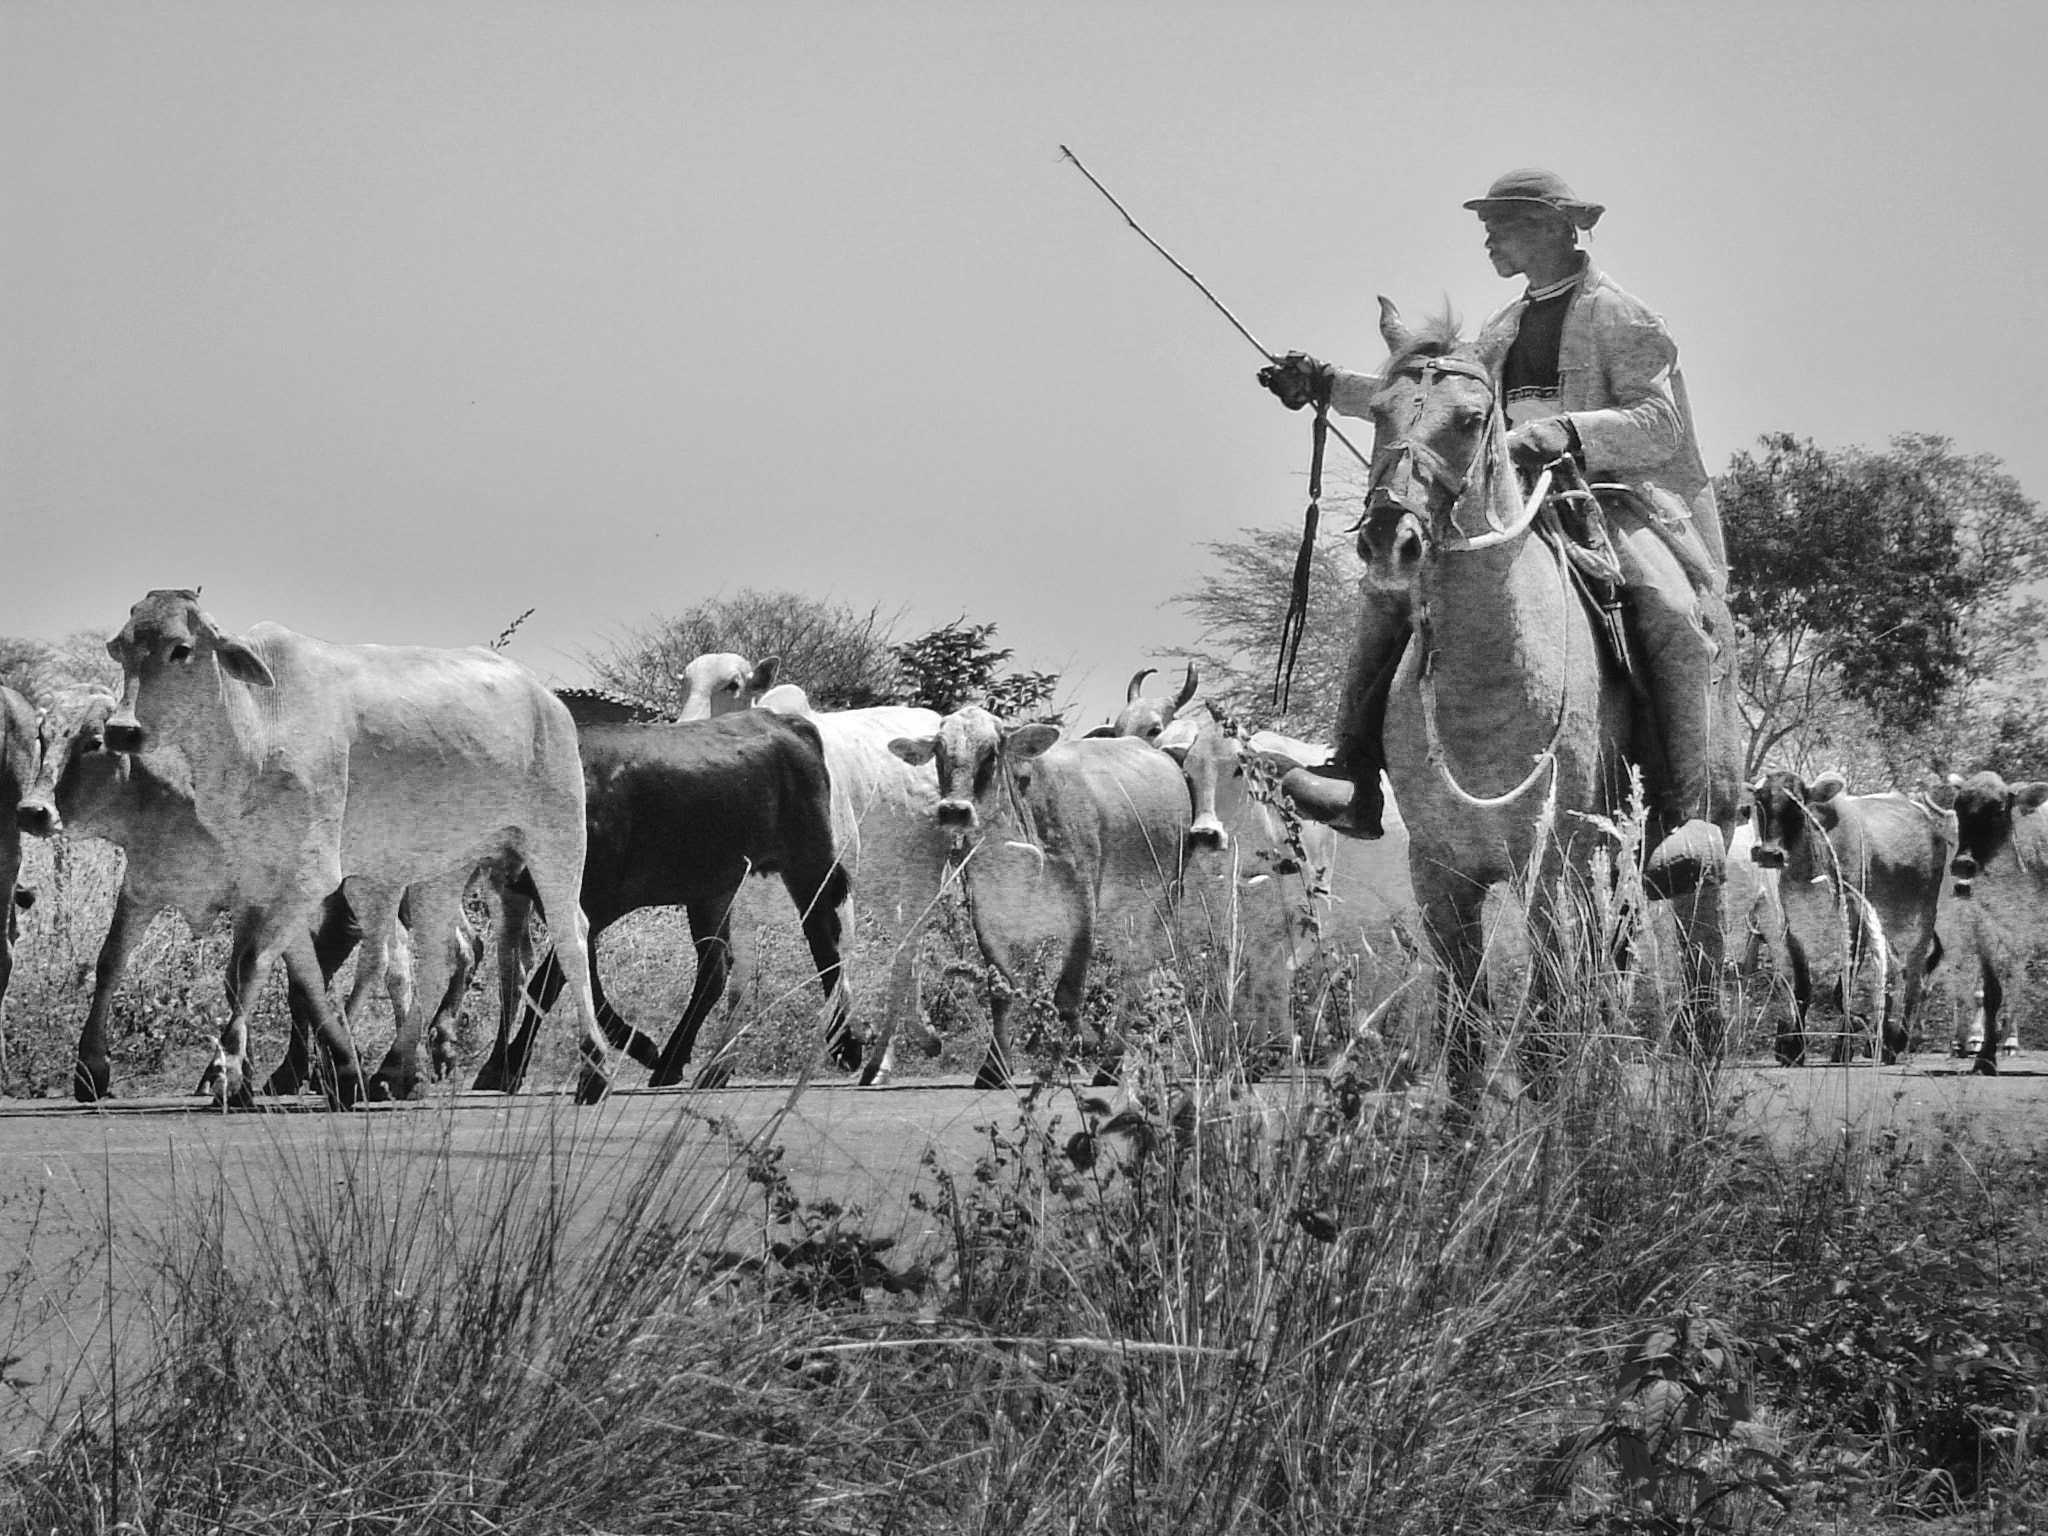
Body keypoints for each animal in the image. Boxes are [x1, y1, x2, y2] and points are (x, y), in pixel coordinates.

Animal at [101, 589, 606, 1105]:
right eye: (119, 648)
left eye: (181, 649)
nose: (121, 730)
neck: (258, 721)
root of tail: (545, 697)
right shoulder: (260, 879)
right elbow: (292, 973)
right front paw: (333, 1068)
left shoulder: (312, 874)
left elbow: (255, 963)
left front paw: (228, 1070)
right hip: (442, 869)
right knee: (438, 957)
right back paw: (394, 1069)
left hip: (556, 838)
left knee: (570, 936)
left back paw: (594, 1065)